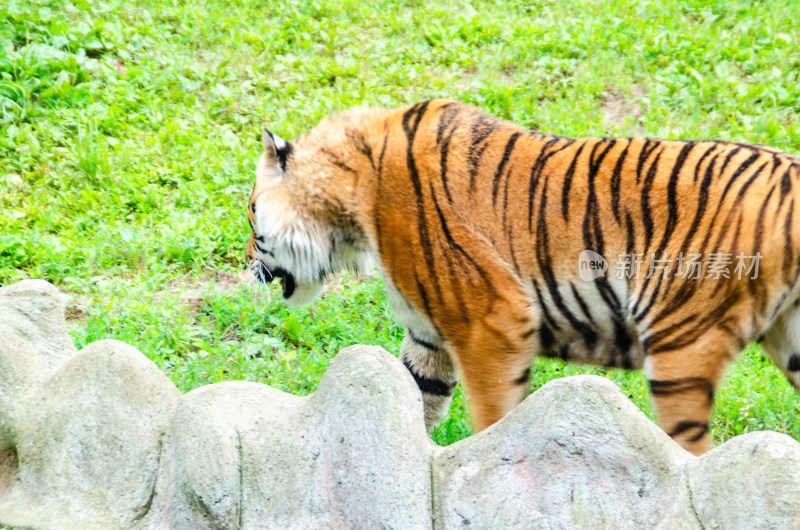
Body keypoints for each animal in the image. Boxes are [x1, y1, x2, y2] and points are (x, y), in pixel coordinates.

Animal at [244, 100, 800, 454]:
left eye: (251, 213)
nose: (247, 261)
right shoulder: (429, 333)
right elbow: (413, 396)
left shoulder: (490, 321)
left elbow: (495, 417)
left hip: (680, 343)